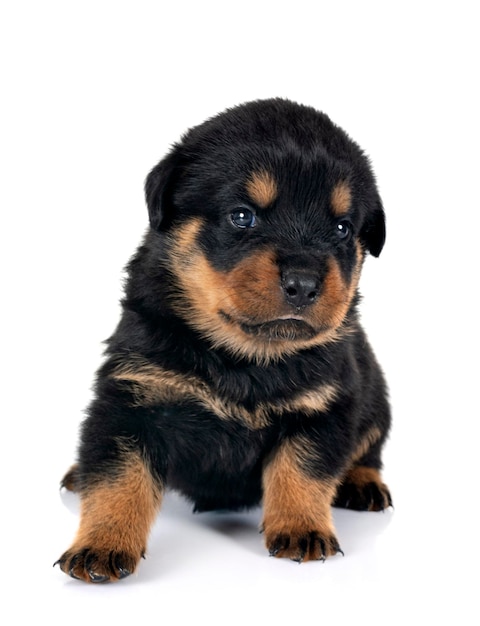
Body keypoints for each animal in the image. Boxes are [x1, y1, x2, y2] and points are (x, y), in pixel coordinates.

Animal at [57, 97, 394, 580]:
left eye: (343, 228)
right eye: (242, 215)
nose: (304, 283)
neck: (245, 359)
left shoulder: (325, 405)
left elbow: (303, 470)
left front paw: (301, 527)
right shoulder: (131, 397)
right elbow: (116, 479)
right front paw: (101, 543)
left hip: (375, 394)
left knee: (369, 448)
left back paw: (363, 483)